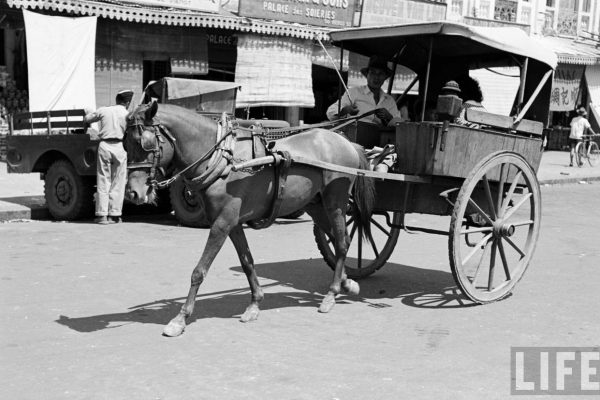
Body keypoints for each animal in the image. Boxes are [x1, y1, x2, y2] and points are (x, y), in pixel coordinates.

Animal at [123, 101, 372, 336]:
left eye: (144, 143)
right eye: (124, 144)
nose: (133, 193)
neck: (223, 160)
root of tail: (346, 142)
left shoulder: (221, 223)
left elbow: (199, 271)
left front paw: (180, 318)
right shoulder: (232, 223)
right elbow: (247, 262)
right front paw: (255, 303)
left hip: (335, 201)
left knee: (342, 242)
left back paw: (332, 293)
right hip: (315, 205)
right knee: (338, 240)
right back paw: (346, 282)